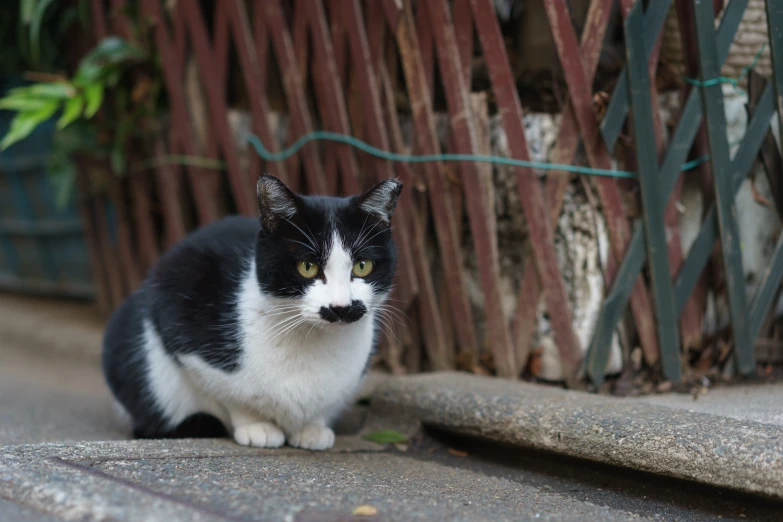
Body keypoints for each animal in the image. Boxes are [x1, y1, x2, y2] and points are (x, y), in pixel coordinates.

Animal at [102, 173, 404, 448]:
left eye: (362, 265)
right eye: (307, 267)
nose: (341, 307)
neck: (312, 341)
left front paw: (311, 428)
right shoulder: (176, 303)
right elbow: (226, 394)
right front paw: (256, 425)